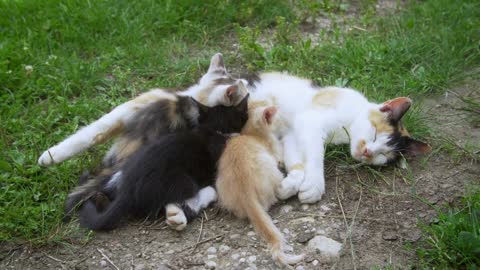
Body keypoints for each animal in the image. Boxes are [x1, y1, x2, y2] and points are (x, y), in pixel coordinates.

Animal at [36, 53, 428, 205]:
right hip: (155, 102)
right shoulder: (312, 120)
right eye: (376, 137)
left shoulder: (291, 133)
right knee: (100, 125)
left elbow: (297, 158)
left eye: (382, 158)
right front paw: (314, 185)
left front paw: (292, 182)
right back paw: (49, 156)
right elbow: (314, 157)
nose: (366, 152)